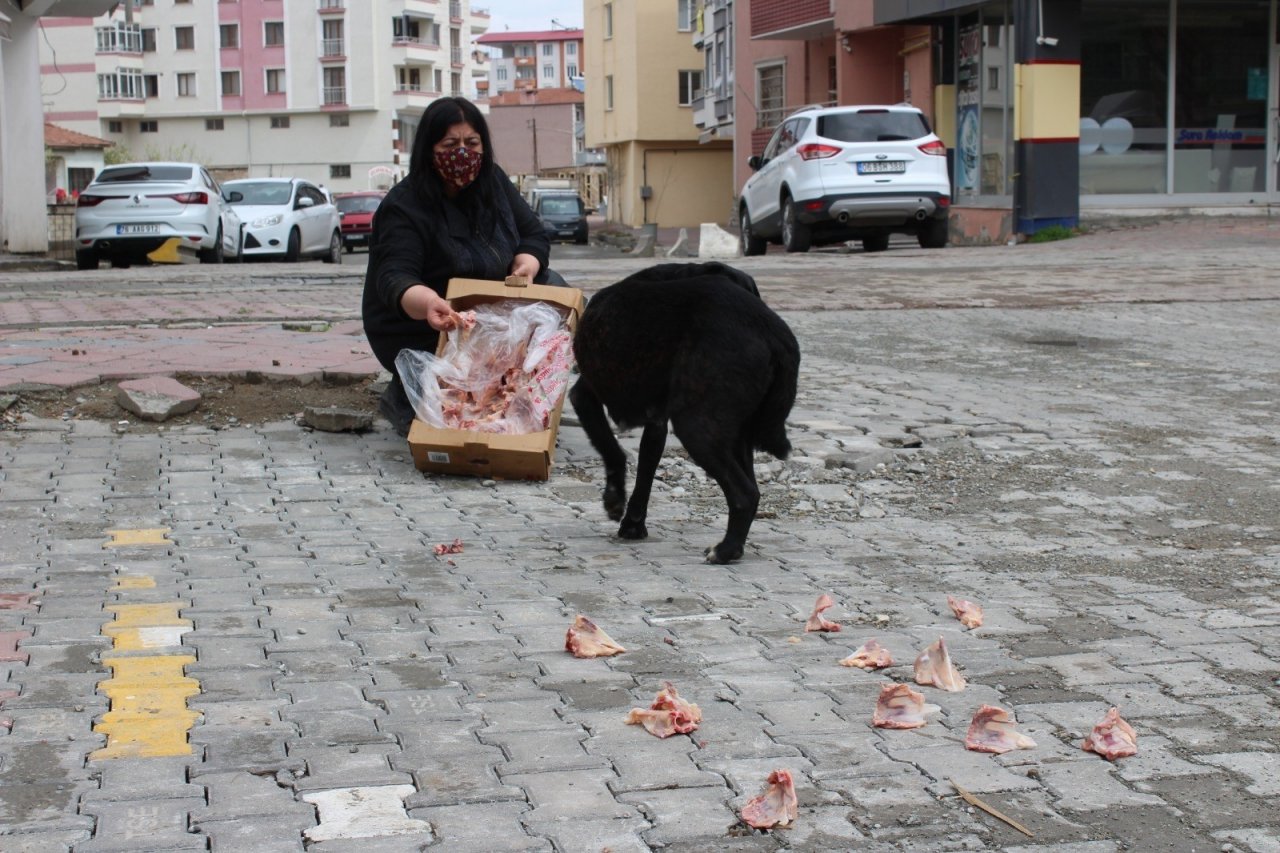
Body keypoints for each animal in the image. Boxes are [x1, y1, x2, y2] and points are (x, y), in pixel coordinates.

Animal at [573, 262, 798, 560]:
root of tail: (773, 333)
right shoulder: (656, 423)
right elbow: (645, 473)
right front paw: (633, 524)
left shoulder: (584, 397)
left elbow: (613, 452)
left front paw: (614, 501)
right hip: (735, 437)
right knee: (753, 489)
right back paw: (735, 548)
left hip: (695, 428)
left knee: (745, 493)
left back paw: (725, 550)